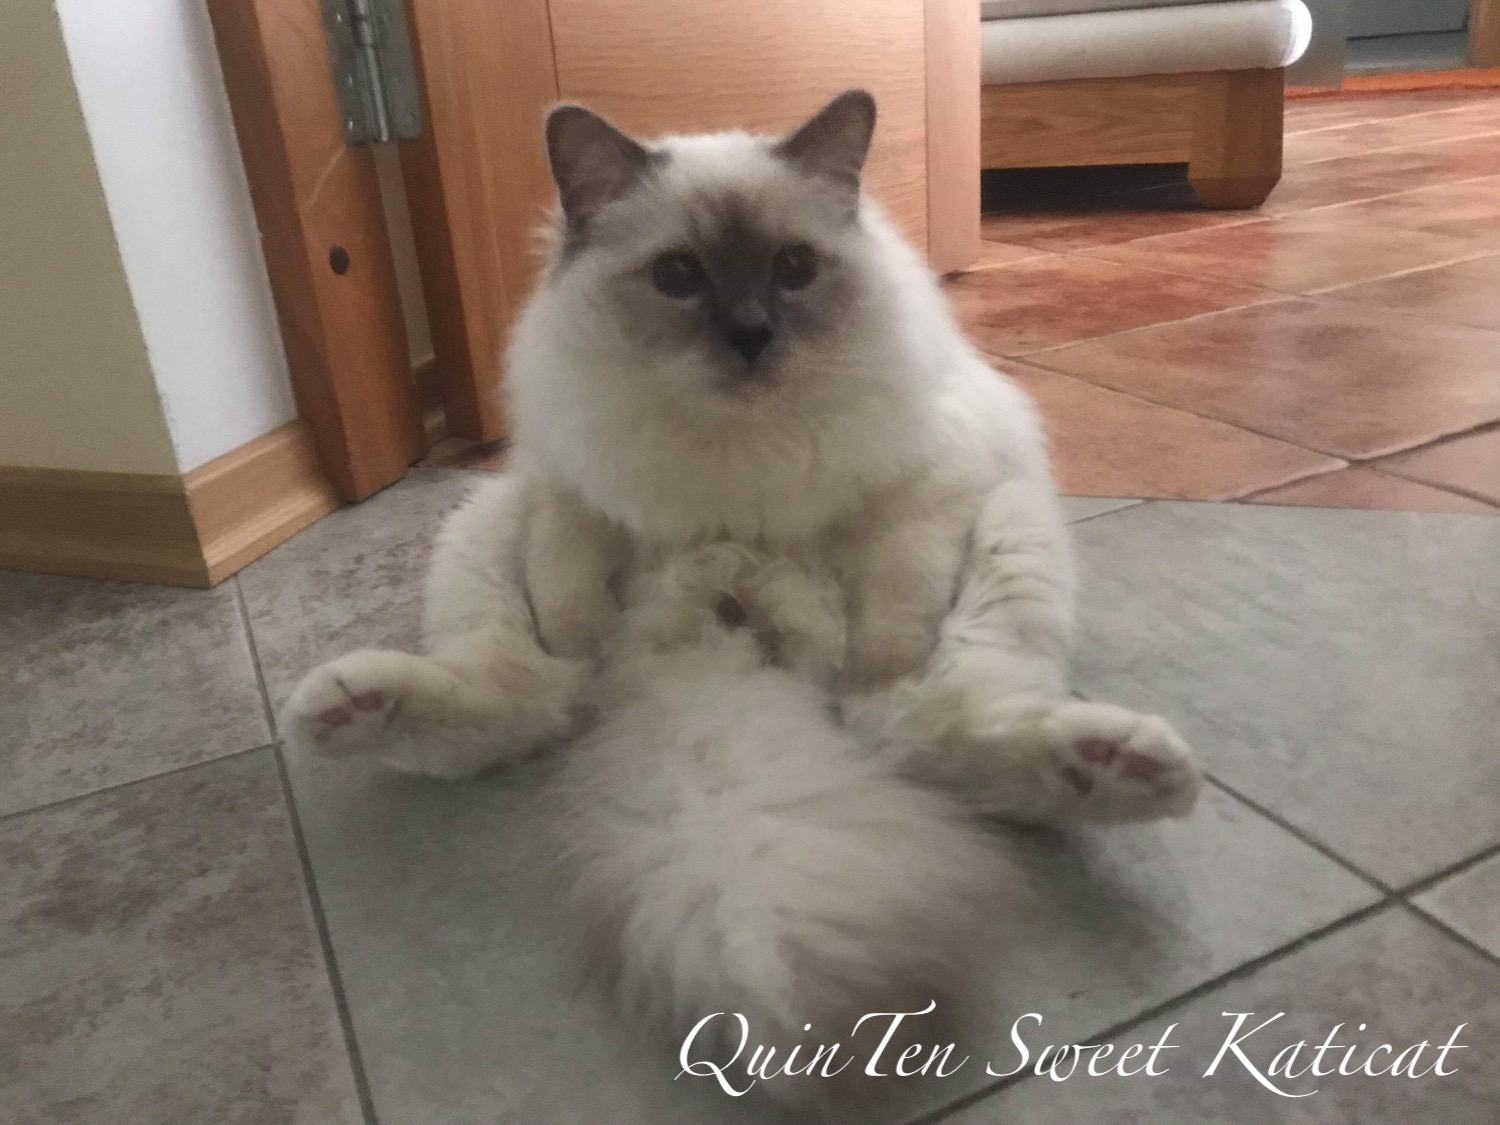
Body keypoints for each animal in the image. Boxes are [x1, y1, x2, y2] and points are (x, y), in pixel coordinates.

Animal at [284, 88, 1200, 826]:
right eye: (677, 275)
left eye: (793, 267)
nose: (752, 335)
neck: (732, 441)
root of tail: (717, 660)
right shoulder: (565, 485)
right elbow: (568, 596)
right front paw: (582, 634)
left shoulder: (925, 488)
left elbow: (895, 614)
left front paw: (879, 660)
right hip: (479, 525)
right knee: (540, 696)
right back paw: (349, 707)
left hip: (1013, 523)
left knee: (909, 724)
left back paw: (1118, 769)